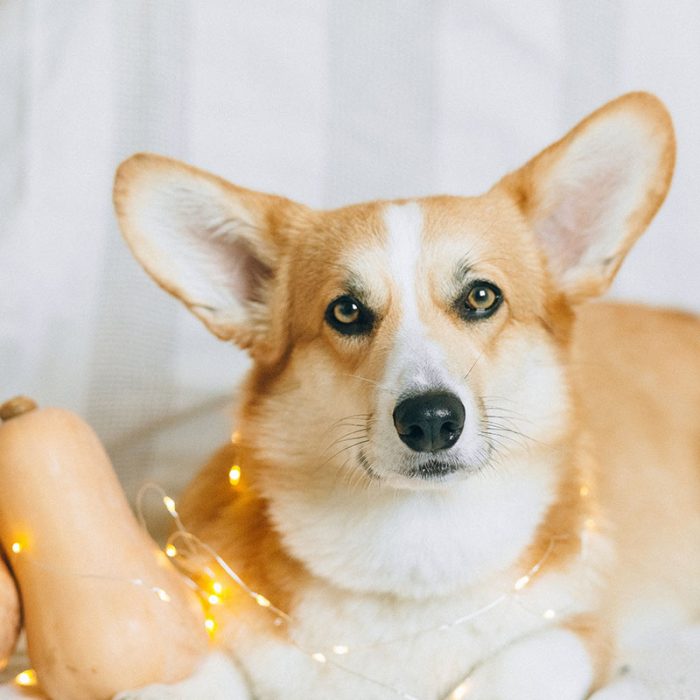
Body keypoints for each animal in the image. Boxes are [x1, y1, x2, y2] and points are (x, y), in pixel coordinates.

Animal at [112, 94, 696, 700]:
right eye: (346, 311)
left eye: (482, 297)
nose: (431, 419)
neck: (414, 550)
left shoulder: (579, 635)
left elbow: (509, 669)